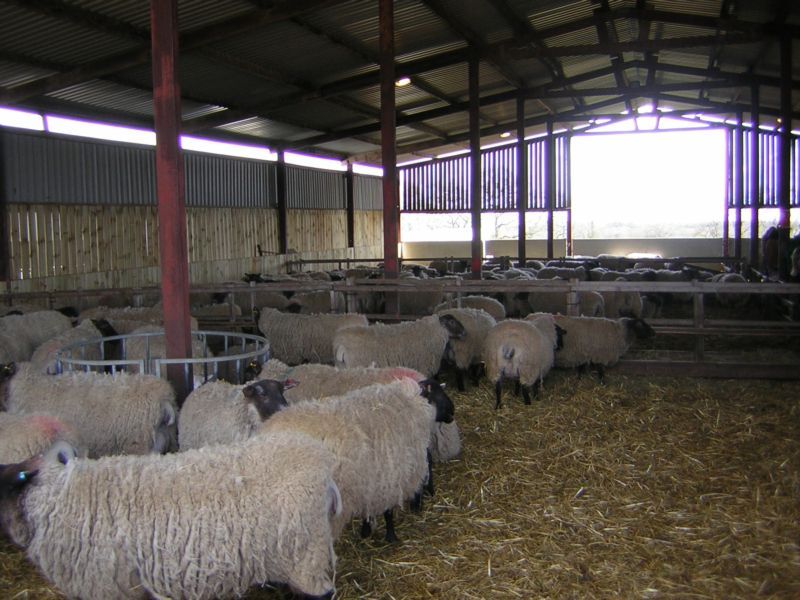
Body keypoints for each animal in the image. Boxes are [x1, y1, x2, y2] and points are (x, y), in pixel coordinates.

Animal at [260, 380, 454, 544]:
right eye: (437, 392)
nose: (453, 412)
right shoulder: (388, 475)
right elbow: (388, 512)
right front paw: (391, 537)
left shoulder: (370, 480)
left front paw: (366, 530)